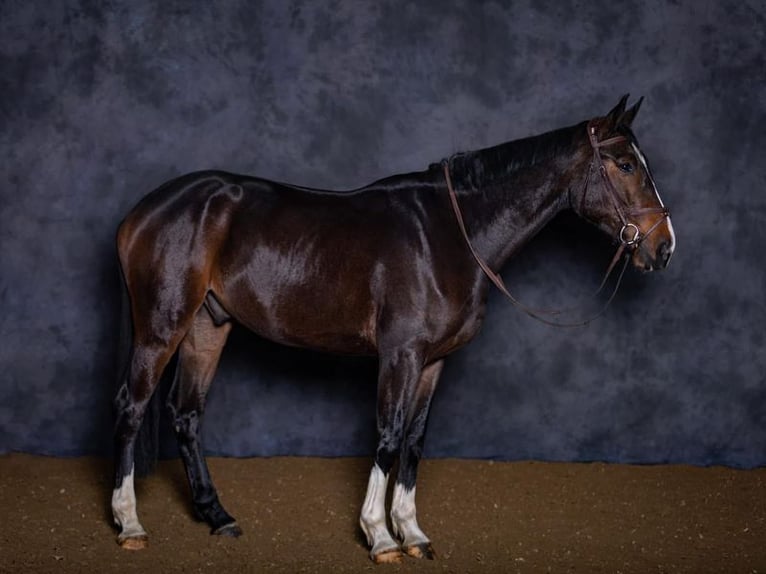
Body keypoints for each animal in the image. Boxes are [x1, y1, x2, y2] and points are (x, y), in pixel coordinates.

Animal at [111, 97, 676, 564]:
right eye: (626, 164)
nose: (663, 246)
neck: (451, 235)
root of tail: (144, 210)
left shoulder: (433, 360)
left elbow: (415, 439)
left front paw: (413, 533)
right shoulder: (401, 353)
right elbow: (387, 433)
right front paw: (380, 536)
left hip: (208, 325)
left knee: (186, 414)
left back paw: (218, 516)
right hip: (162, 325)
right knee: (132, 407)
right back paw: (130, 524)